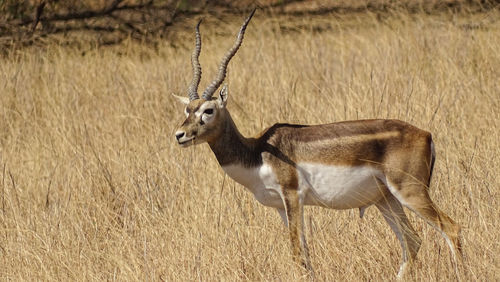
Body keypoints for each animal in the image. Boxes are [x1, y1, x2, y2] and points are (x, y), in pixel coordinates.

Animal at [172, 9, 460, 278]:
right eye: (188, 109)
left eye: (208, 110)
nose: (179, 135)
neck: (257, 152)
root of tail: (425, 134)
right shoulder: (281, 206)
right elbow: (304, 254)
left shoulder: (293, 195)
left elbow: (297, 252)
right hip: (386, 199)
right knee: (412, 241)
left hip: (410, 191)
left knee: (451, 228)